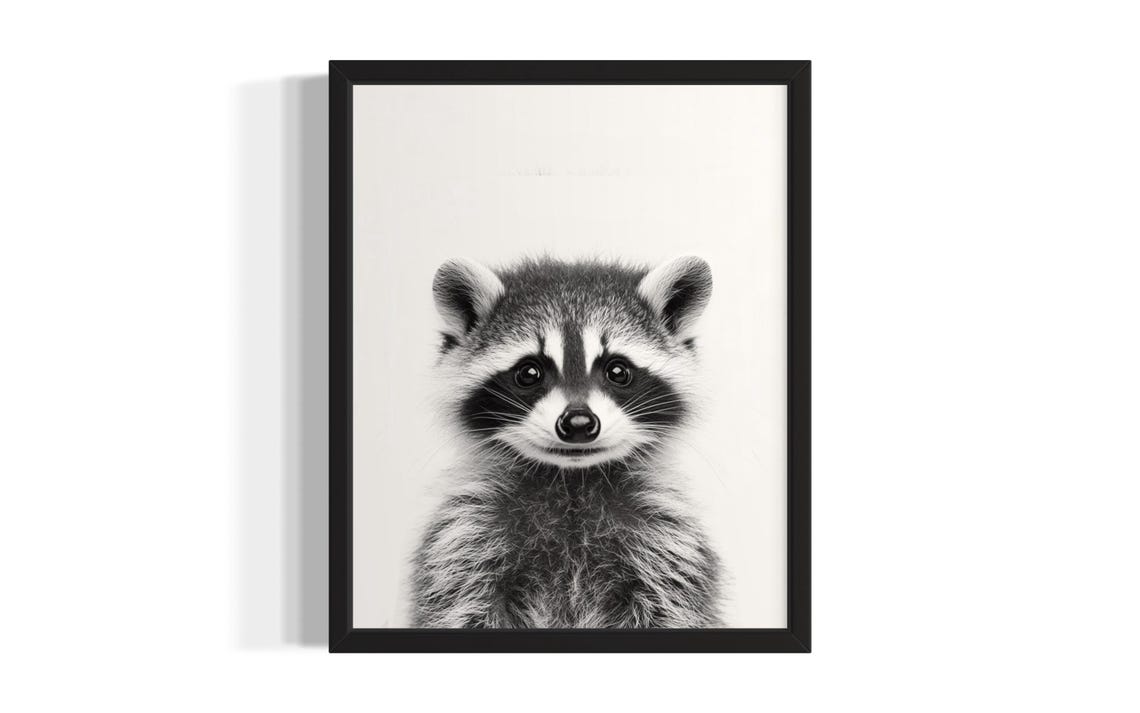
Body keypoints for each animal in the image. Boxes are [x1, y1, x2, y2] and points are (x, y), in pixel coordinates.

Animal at [411, 255, 721, 628]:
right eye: (529, 373)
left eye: (618, 371)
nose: (578, 424)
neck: (571, 479)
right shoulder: (465, 538)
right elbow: (461, 605)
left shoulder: (666, 542)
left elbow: (670, 607)